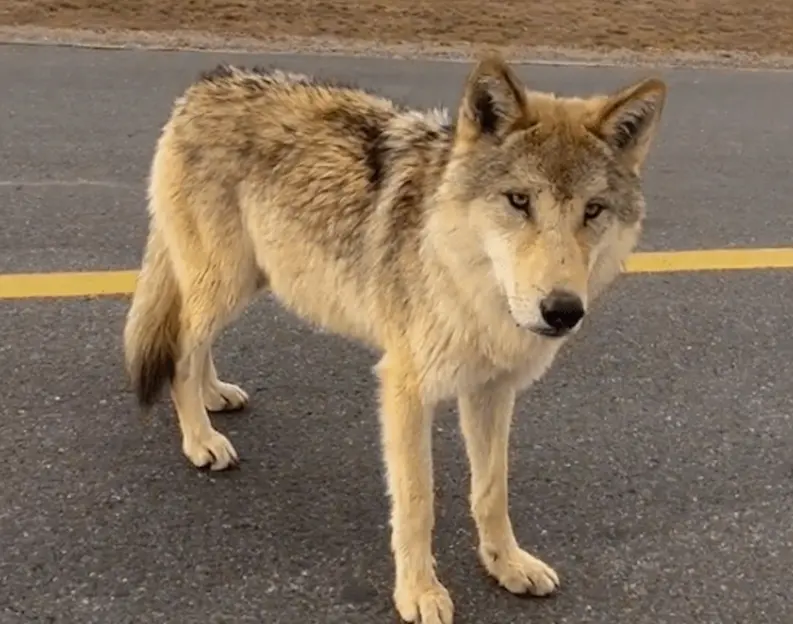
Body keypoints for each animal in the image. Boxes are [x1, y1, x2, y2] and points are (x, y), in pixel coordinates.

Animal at [124, 53, 664, 624]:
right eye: (519, 201)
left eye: (593, 210)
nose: (562, 311)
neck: (467, 281)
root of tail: (207, 83)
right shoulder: (406, 389)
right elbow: (417, 502)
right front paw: (419, 592)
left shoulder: (491, 391)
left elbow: (491, 491)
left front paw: (507, 565)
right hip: (224, 282)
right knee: (181, 349)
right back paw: (200, 439)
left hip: (246, 281)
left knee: (194, 342)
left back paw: (214, 397)